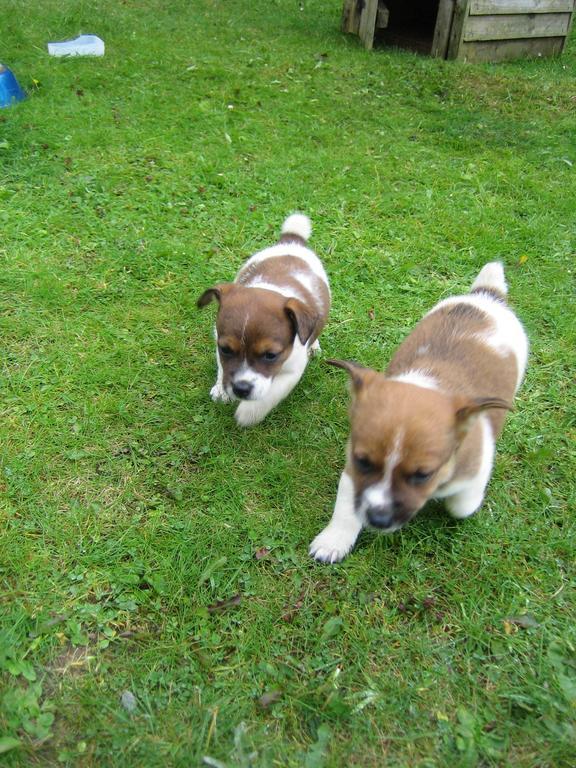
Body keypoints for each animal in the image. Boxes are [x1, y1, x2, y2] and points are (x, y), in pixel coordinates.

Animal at [199, 214, 328, 426]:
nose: (241, 389)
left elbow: (272, 393)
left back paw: (314, 345)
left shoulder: (293, 371)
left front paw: (248, 413)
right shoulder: (218, 338)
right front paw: (220, 389)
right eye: (226, 349)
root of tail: (292, 241)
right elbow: (222, 367)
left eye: (270, 355)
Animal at [310, 264, 528, 564]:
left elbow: (462, 505)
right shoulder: (353, 472)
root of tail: (486, 296)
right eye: (363, 462)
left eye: (423, 475)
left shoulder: (476, 468)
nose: (378, 520)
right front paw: (333, 541)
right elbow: (346, 506)